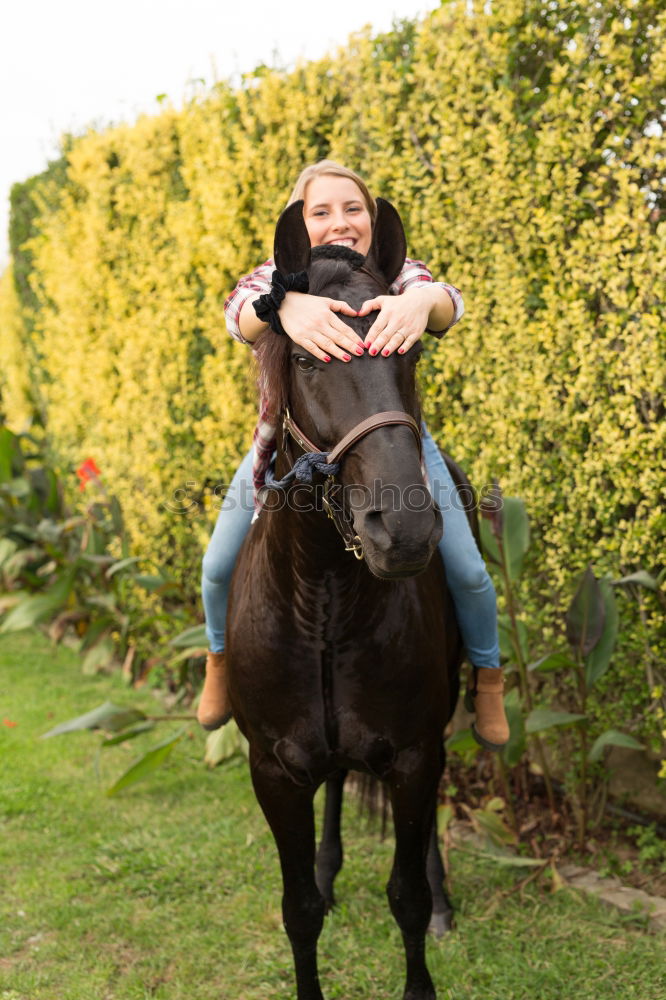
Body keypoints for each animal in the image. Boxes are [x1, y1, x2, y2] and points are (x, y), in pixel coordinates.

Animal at [226, 199, 470, 996]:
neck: (324, 595)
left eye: (410, 355)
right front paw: (318, 888)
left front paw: (429, 918)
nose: (405, 529)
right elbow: (299, 910)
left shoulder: (417, 755)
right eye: (305, 360)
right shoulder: (272, 769)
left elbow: (408, 897)